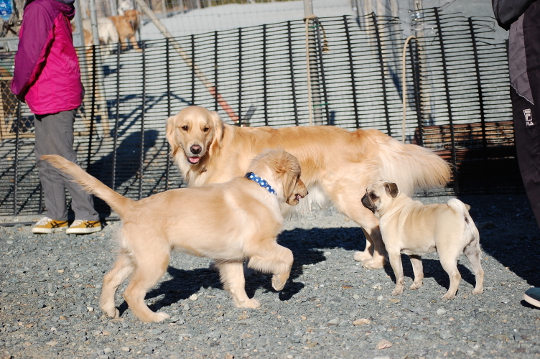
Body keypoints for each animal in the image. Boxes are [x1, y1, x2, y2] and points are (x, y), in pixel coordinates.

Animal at [41, 149, 308, 324]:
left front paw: (245, 303)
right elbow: (288, 255)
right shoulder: (259, 244)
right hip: (154, 260)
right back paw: (153, 318)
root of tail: (132, 206)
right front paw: (279, 283)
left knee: (110, 279)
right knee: (132, 292)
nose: (305, 192)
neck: (263, 187)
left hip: (133, 256)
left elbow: (237, 282)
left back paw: (110, 310)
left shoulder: (231, 257)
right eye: (298, 176)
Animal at [165, 107, 452, 270]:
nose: (195, 149)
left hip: (347, 196)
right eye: (185, 127)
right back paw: (366, 256)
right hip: (355, 199)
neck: (215, 151)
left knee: (375, 228)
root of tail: (360, 134)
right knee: (370, 229)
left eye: (206, 129)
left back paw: (377, 262)